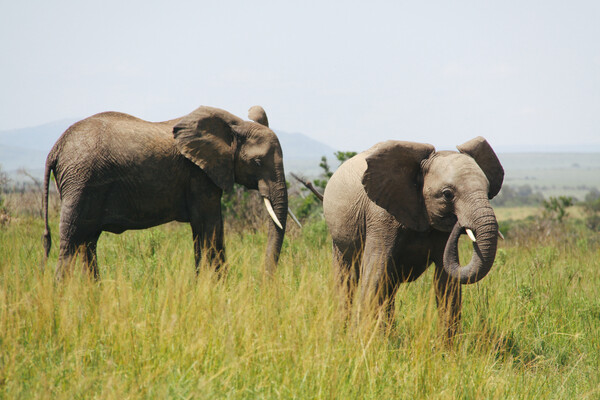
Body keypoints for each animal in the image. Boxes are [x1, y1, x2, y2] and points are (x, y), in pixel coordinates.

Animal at [42, 104, 288, 280]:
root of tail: (56, 147)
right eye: (257, 162)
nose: (264, 282)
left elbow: (208, 230)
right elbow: (210, 227)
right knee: (71, 240)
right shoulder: (199, 175)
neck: (234, 126)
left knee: (88, 242)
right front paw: (214, 290)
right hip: (80, 180)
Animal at [322, 138, 504, 340]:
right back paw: (344, 333)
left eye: (488, 191)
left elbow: (447, 284)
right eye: (447, 194)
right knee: (347, 278)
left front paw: (446, 348)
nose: (460, 223)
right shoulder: (380, 218)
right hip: (338, 236)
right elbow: (375, 275)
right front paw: (364, 341)